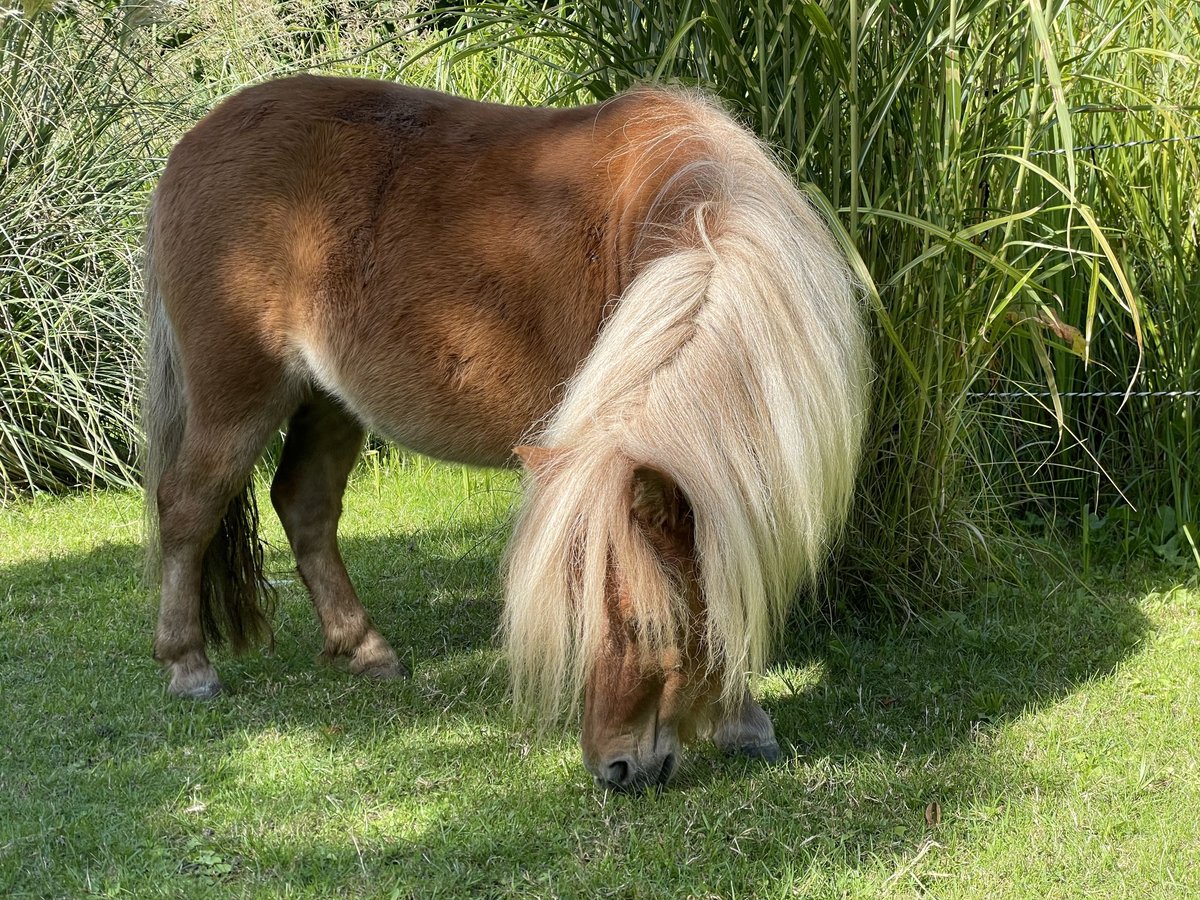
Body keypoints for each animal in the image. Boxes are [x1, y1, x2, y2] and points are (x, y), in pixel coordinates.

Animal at [145, 79, 868, 796]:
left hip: (328, 401)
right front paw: (743, 722)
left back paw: (366, 649)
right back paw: (188, 666)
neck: (695, 225)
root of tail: (188, 147)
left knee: (305, 506)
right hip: (237, 398)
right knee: (186, 508)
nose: (613, 769)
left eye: (645, 625)